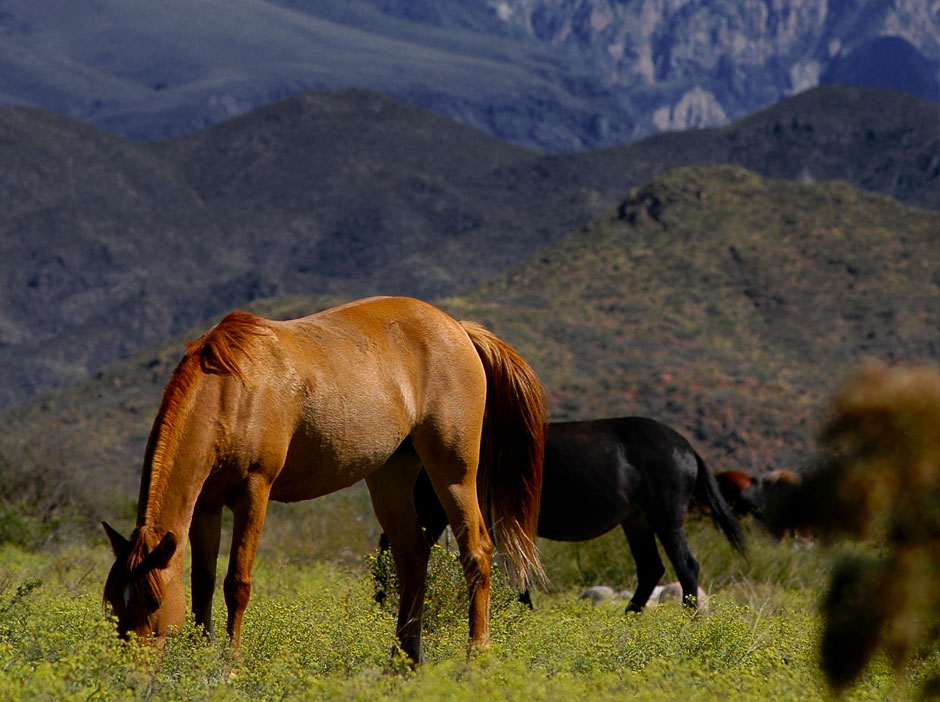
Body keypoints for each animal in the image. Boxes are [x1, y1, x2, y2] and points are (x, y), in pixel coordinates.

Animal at [103, 296, 548, 664]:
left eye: (153, 602)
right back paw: (402, 663)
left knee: (476, 552)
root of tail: (458, 328)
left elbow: (237, 583)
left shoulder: (253, 492)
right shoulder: (207, 504)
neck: (232, 392)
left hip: (453, 471)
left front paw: (229, 666)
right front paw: (201, 660)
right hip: (389, 477)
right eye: (113, 602)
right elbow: (203, 583)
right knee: (412, 557)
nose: (132, 672)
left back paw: (476, 658)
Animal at [378, 418, 744, 612]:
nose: (379, 602)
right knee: (651, 568)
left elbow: (515, 567)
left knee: (686, 566)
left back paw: (689, 618)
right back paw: (629, 615)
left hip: (665, 518)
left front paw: (524, 610)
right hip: (636, 520)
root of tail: (687, 446)